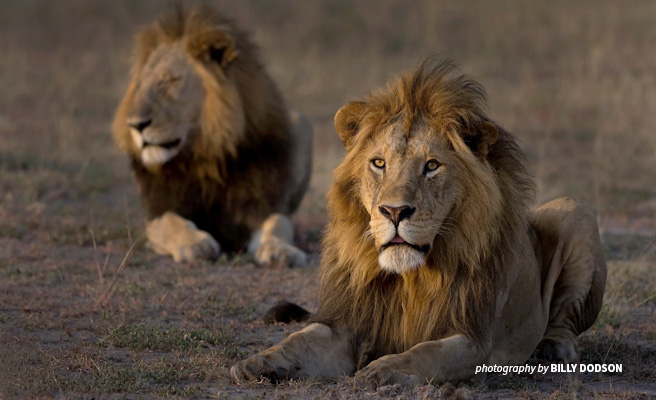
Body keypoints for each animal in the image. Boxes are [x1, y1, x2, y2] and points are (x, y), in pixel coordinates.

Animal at [113, 4, 312, 268]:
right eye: (139, 86)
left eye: (170, 81)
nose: (135, 125)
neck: (205, 155)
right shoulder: (158, 210)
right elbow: (171, 223)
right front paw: (195, 244)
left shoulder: (262, 204)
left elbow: (277, 225)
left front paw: (282, 251)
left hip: (302, 124)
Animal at [233, 60, 608, 388]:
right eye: (379, 163)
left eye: (431, 165)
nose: (394, 212)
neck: (409, 278)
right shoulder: (346, 325)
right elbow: (302, 338)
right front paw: (260, 360)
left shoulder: (472, 338)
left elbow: (427, 353)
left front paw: (383, 370)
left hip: (574, 211)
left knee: (562, 319)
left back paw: (554, 348)